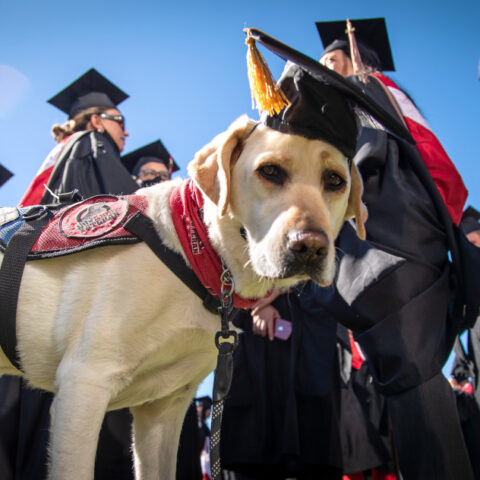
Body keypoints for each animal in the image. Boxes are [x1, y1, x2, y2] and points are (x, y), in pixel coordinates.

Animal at [0, 116, 364, 480]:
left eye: (335, 180)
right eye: (270, 171)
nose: (311, 247)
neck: (192, 250)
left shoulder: (163, 409)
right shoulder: (84, 383)